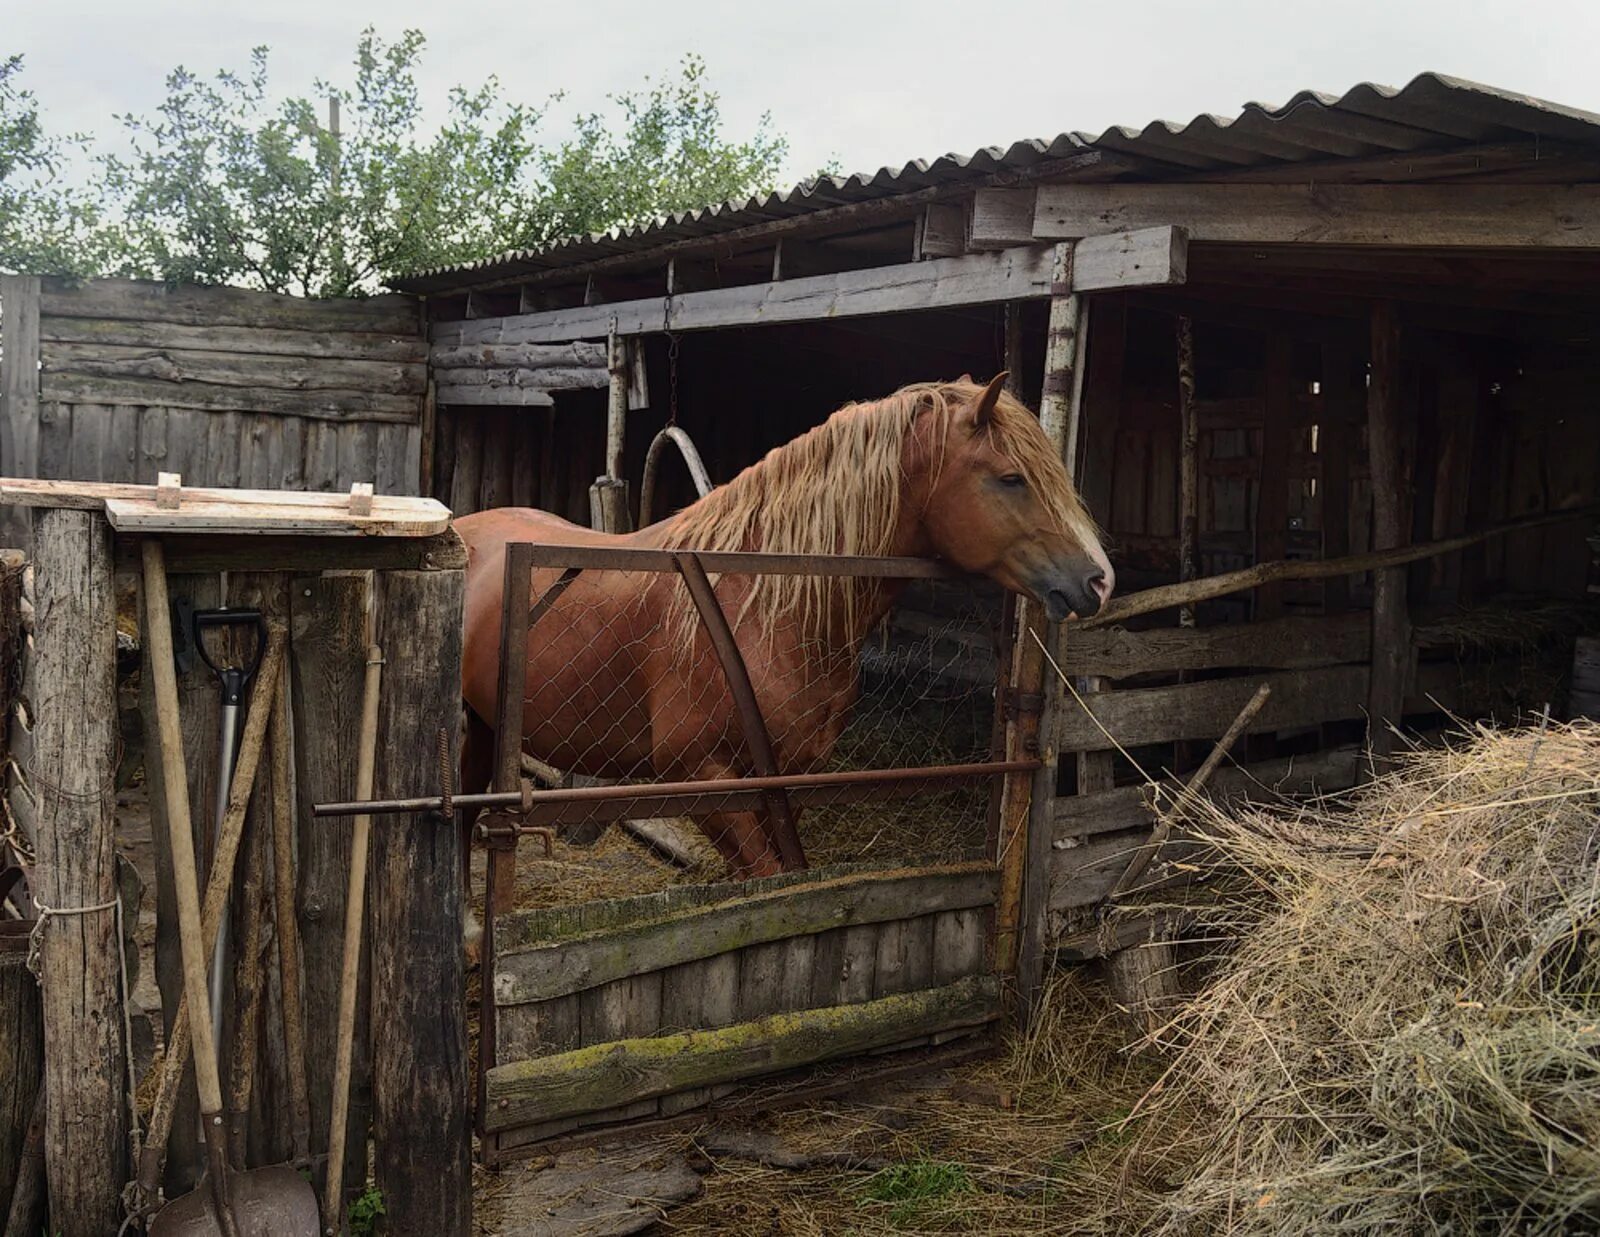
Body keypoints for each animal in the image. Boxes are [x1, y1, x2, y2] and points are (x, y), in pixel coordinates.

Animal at [457, 371, 1120, 883]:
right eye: (1011, 478)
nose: (1100, 581)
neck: (760, 602)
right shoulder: (701, 779)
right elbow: (766, 882)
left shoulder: (790, 779)